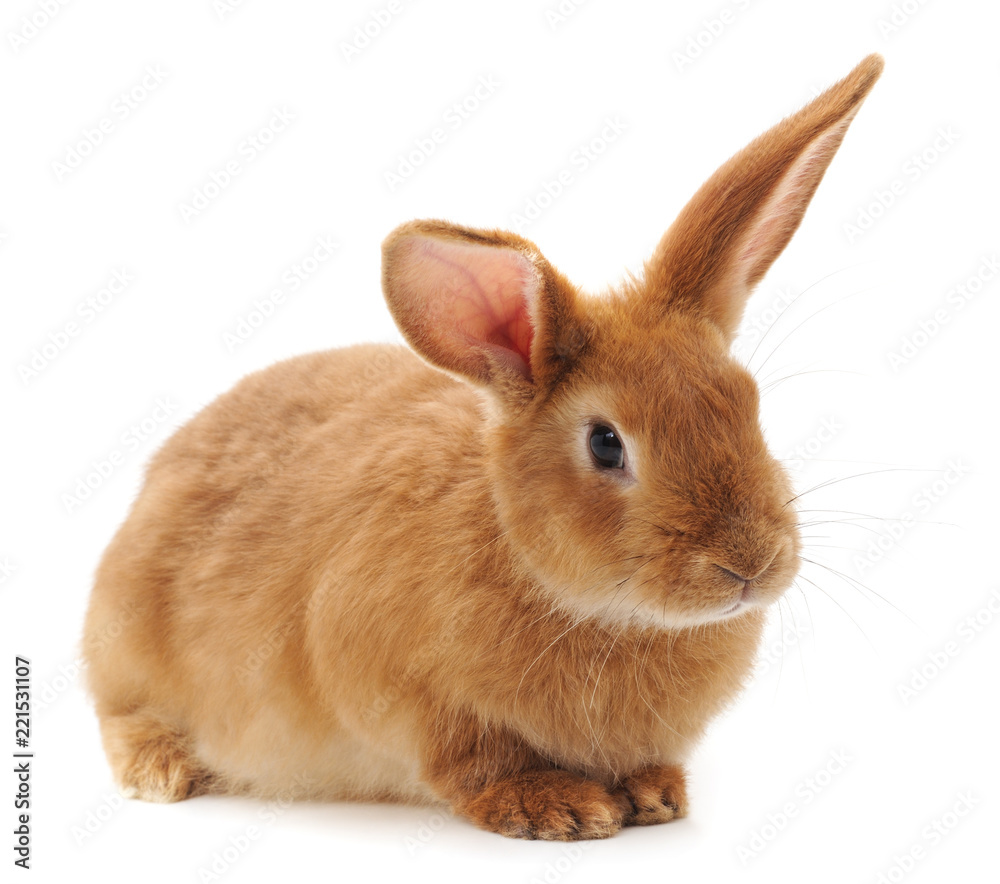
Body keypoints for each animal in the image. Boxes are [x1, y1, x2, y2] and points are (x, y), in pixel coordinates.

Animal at [83, 54, 883, 841]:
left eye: (749, 405)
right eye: (605, 444)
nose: (749, 564)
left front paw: (655, 795)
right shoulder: (409, 699)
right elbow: (474, 763)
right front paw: (559, 807)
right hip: (130, 656)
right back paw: (161, 772)